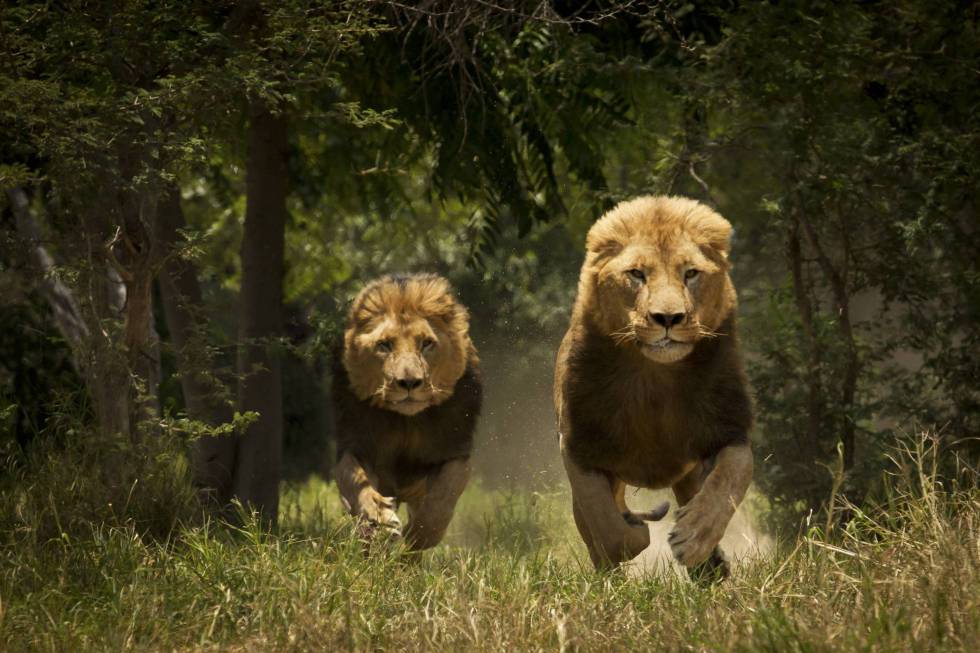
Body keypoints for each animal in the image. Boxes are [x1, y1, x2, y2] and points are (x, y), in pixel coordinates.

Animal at [332, 272, 480, 548]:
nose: (409, 382)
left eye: (427, 344)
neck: (406, 423)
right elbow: (358, 484)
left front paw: (422, 535)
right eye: (384, 345)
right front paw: (381, 521)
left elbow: (445, 493)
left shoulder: (455, 451)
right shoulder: (355, 445)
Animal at [556, 194, 756, 576]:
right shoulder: (578, 443)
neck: (655, 379)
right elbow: (602, 519)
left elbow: (731, 478)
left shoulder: (729, 430)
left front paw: (693, 539)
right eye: (636, 274)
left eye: (690, 273)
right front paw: (633, 536)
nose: (668, 318)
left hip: (688, 472)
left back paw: (711, 568)